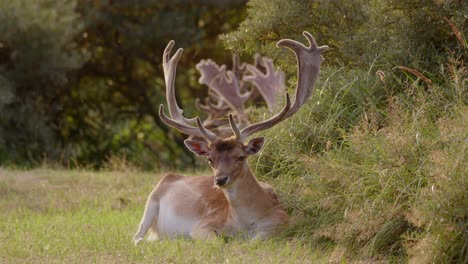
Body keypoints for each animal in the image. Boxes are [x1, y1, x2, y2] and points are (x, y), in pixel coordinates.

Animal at [133, 31, 328, 243]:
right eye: (210, 159)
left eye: (241, 156)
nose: (220, 179)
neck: (243, 225)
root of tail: (169, 176)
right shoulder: (203, 225)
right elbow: (218, 241)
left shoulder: (282, 223)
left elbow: (256, 240)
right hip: (151, 201)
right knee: (136, 236)